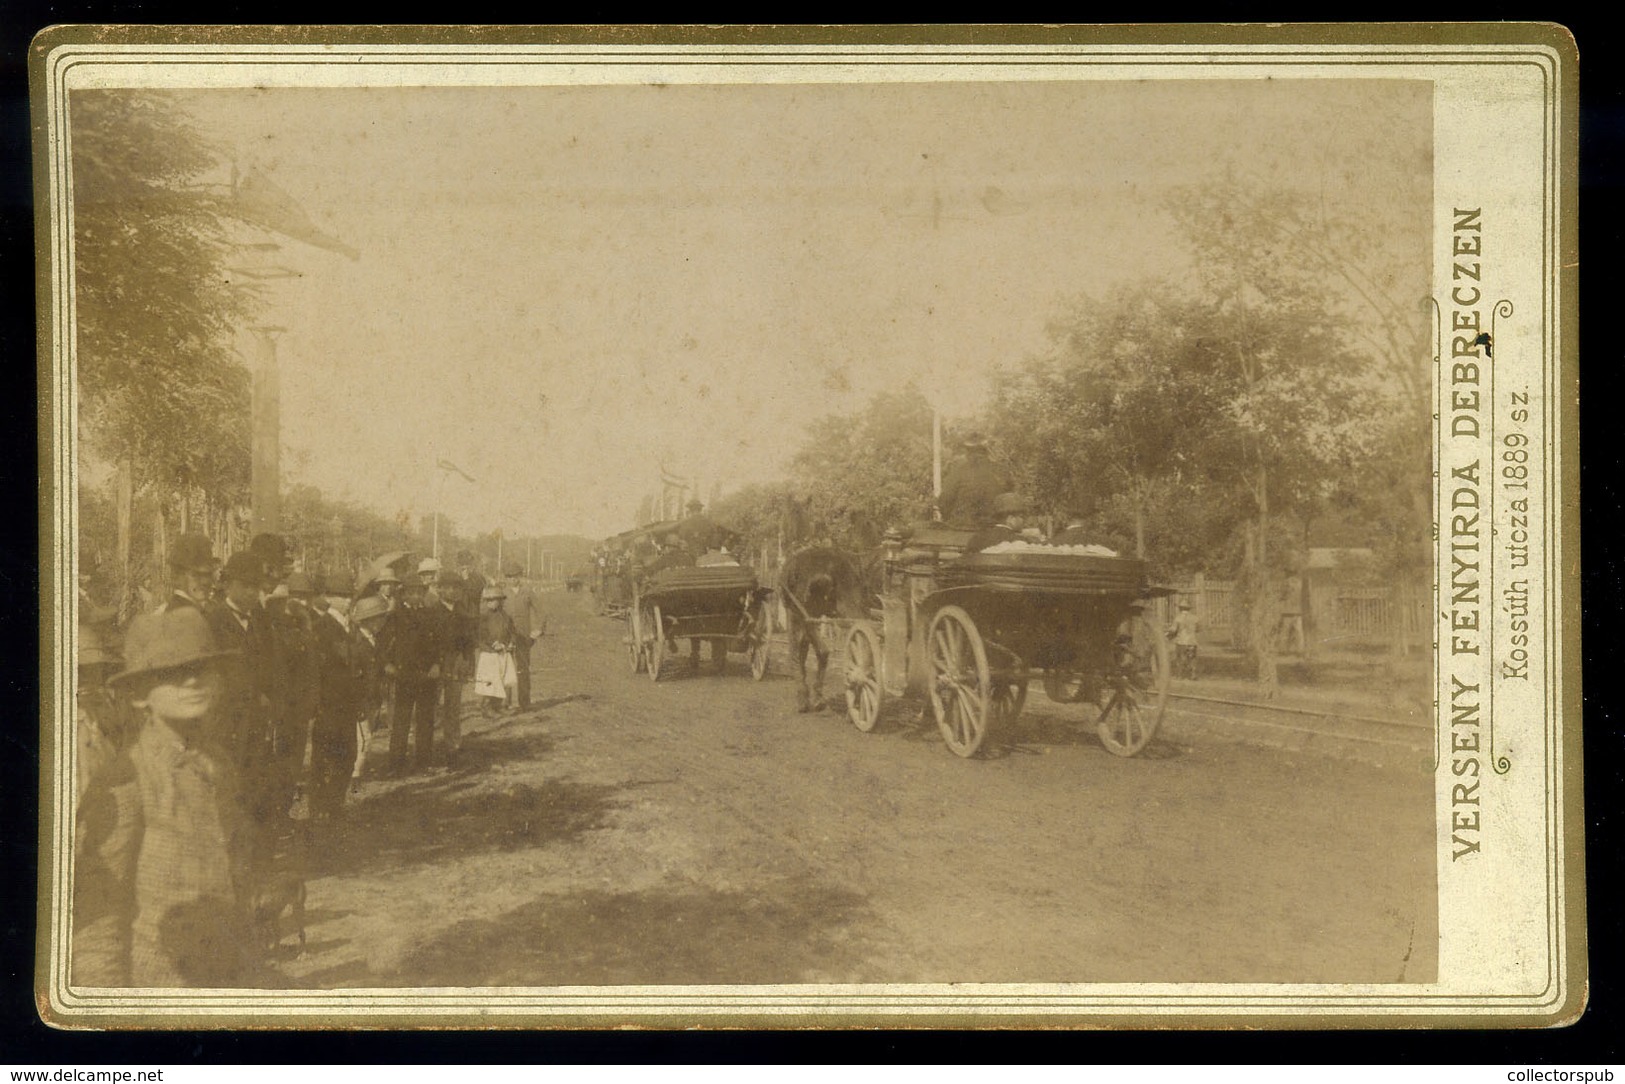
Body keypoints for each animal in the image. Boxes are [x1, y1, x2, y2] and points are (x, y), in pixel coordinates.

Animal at [776, 546, 871, 715]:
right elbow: (802, 651)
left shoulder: (795, 614)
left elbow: (796, 652)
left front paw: (802, 698)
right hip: (850, 607)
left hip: (807, 614)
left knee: (823, 650)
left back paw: (817, 699)